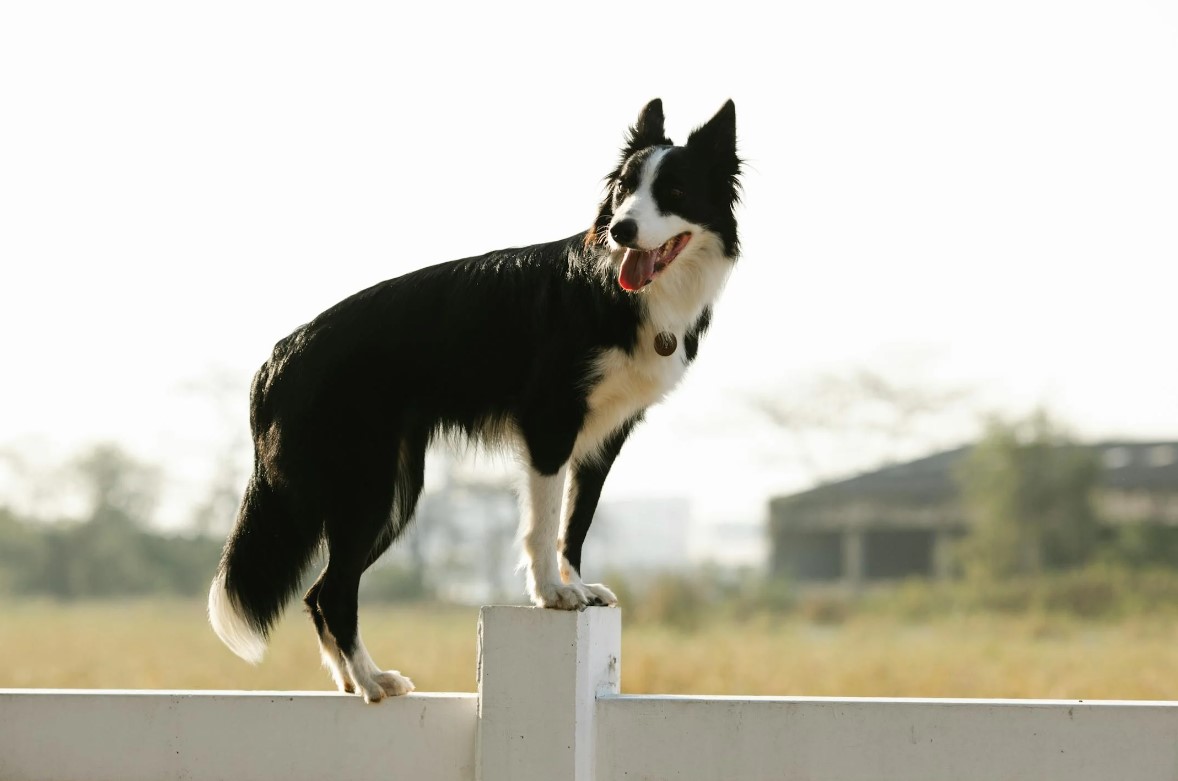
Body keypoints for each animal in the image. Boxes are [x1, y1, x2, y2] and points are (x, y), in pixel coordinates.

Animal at [208, 97, 739, 702]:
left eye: (673, 192)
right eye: (625, 189)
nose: (621, 229)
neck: (618, 289)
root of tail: (277, 358)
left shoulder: (604, 436)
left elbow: (574, 526)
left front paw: (578, 587)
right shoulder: (549, 423)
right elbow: (543, 523)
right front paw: (551, 595)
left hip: (394, 490)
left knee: (321, 591)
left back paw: (352, 679)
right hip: (367, 487)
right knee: (333, 590)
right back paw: (371, 682)